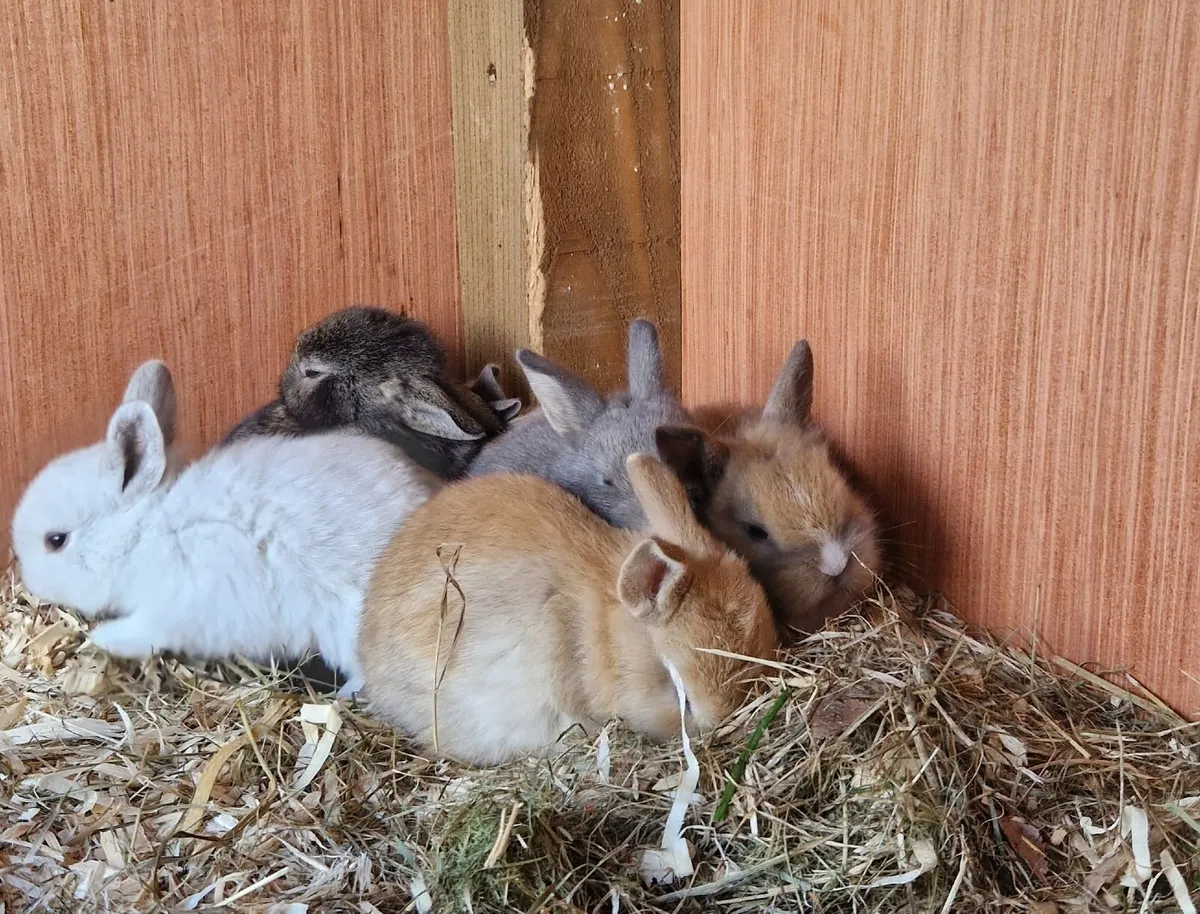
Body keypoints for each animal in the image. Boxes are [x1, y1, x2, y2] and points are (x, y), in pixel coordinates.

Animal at [11, 360, 441, 697]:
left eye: (55, 541)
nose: (29, 580)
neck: (147, 532)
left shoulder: (182, 607)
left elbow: (145, 631)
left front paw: (102, 638)